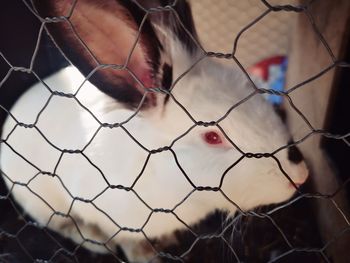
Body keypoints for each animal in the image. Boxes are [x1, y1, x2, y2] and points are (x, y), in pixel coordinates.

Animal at [0, 0, 306, 262]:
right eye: (212, 136)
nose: (300, 176)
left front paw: (168, 241)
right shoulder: (110, 216)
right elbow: (128, 241)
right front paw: (146, 257)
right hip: (40, 201)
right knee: (61, 224)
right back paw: (93, 241)